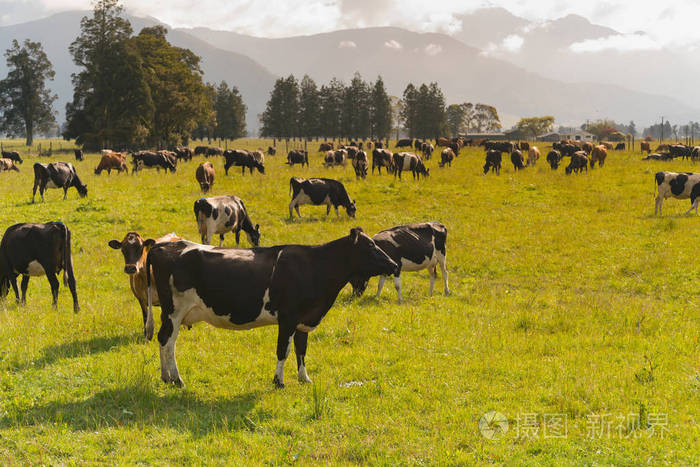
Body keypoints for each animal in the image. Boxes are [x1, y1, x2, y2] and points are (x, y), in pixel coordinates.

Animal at [146, 228, 400, 388]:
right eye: (370, 246)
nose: (394, 264)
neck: (315, 267)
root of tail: (162, 246)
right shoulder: (288, 318)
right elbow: (283, 350)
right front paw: (279, 382)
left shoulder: (304, 319)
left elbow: (301, 349)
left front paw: (304, 379)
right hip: (175, 311)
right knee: (169, 341)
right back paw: (177, 379)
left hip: (169, 313)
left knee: (161, 338)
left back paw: (165, 377)